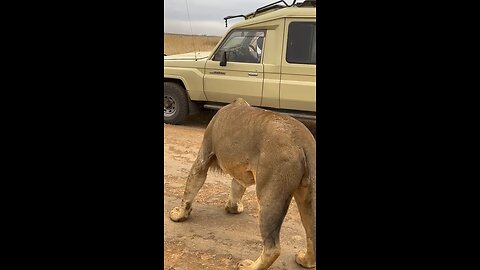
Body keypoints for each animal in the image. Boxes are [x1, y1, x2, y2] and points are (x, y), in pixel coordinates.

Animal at [168, 98, 316, 268]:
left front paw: (179, 215)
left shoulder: (204, 154)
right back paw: (305, 260)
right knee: (311, 232)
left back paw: (249, 266)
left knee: (273, 248)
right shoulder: (241, 171)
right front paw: (234, 208)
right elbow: (237, 187)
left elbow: (190, 187)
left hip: (271, 194)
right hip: (306, 196)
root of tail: (303, 140)